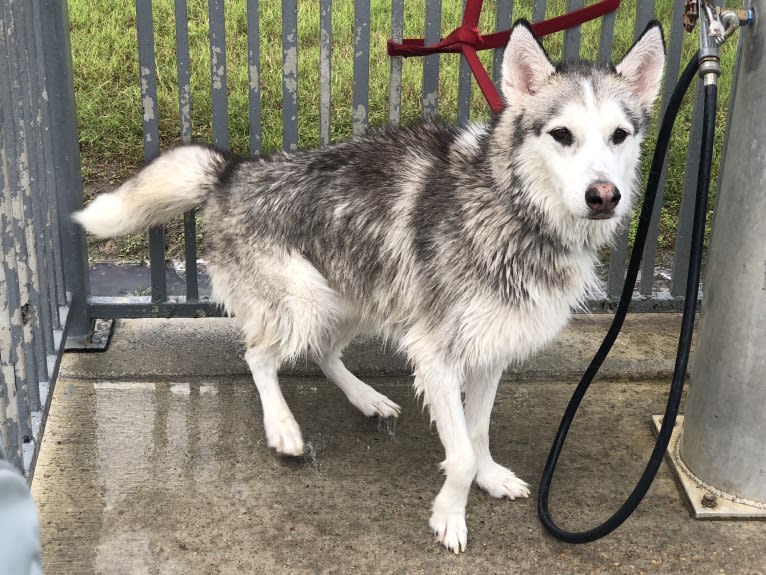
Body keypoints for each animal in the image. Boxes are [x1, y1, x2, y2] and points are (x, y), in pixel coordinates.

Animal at [75, 21, 668, 552]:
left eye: (619, 136)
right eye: (562, 135)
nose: (603, 196)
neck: (513, 211)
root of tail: (232, 171)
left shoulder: (490, 350)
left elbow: (477, 434)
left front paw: (490, 477)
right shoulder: (437, 355)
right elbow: (460, 454)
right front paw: (450, 516)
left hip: (360, 296)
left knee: (321, 352)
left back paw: (366, 398)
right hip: (307, 301)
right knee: (259, 356)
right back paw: (283, 428)